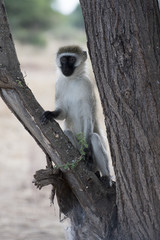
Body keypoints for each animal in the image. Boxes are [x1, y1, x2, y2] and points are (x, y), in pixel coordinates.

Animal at [41, 45, 112, 182]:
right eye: (63, 59)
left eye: (72, 59)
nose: (65, 67)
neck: (72, 79)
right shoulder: (59, 85)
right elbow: (63, 111)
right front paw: (51, 113)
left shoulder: (87, 86)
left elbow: (88, 117)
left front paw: (87, 151)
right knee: (68, 133)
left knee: (94, 138)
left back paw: (105, 177)